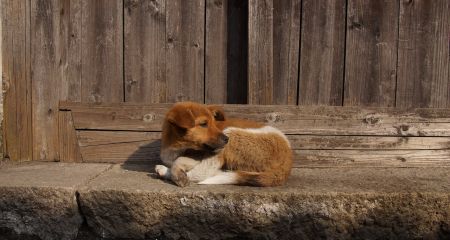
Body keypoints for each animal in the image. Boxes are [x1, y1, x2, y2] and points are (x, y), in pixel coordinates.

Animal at [156, 101, 294, 188]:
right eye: (203, 124)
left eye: (214, 123)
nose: (226, 139)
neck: (177, 146)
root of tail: (288, 161)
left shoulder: (201, 154)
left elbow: (179, 161)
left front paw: (175, 173)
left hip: (231, 134)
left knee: (204, 172)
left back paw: (164, 171)